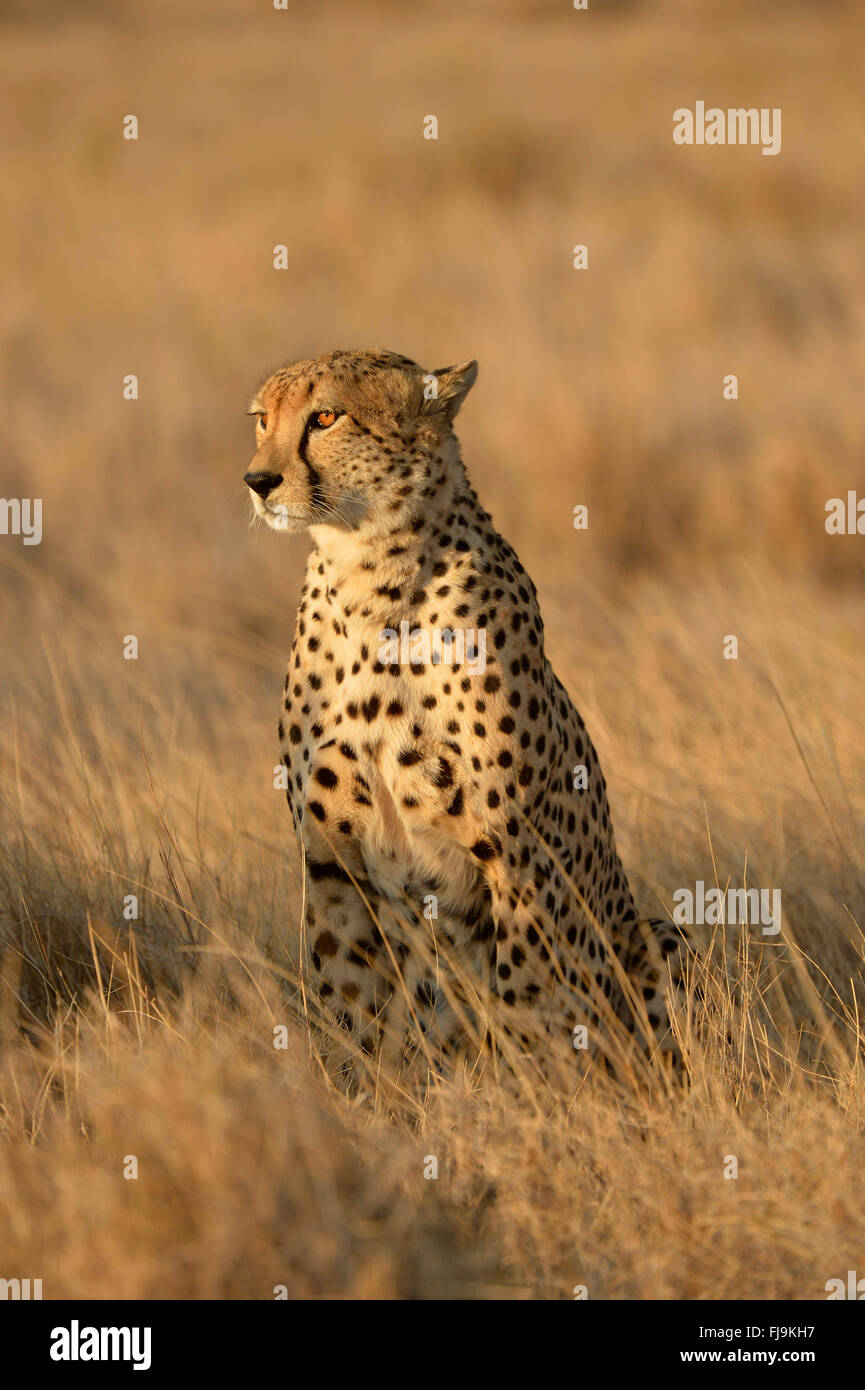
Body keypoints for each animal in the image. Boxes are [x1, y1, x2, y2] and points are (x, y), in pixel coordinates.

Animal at [244, 353, 692, 1078]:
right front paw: (360, 1092)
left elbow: (525, 996)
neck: (370, 581)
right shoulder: (332, 863)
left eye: (325, 417)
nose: (258, 481)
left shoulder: (515, 853)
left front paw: (534, 1094)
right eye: (262, 419)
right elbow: (352, 1004)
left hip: (656, 934)